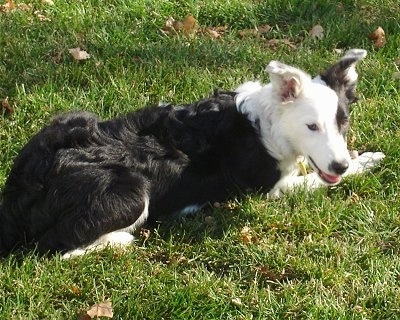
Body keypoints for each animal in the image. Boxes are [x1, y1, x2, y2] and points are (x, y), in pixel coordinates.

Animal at [0, 48, 384, 258]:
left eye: (343, 123)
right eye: (311, 127)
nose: (338, 163)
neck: (266, 123)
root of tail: (19, 187)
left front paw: (363, 157)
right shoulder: (267, 189)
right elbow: (317, 182)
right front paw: (362, 164)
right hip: (131, 192)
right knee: (54, 247)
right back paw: (118, 240)